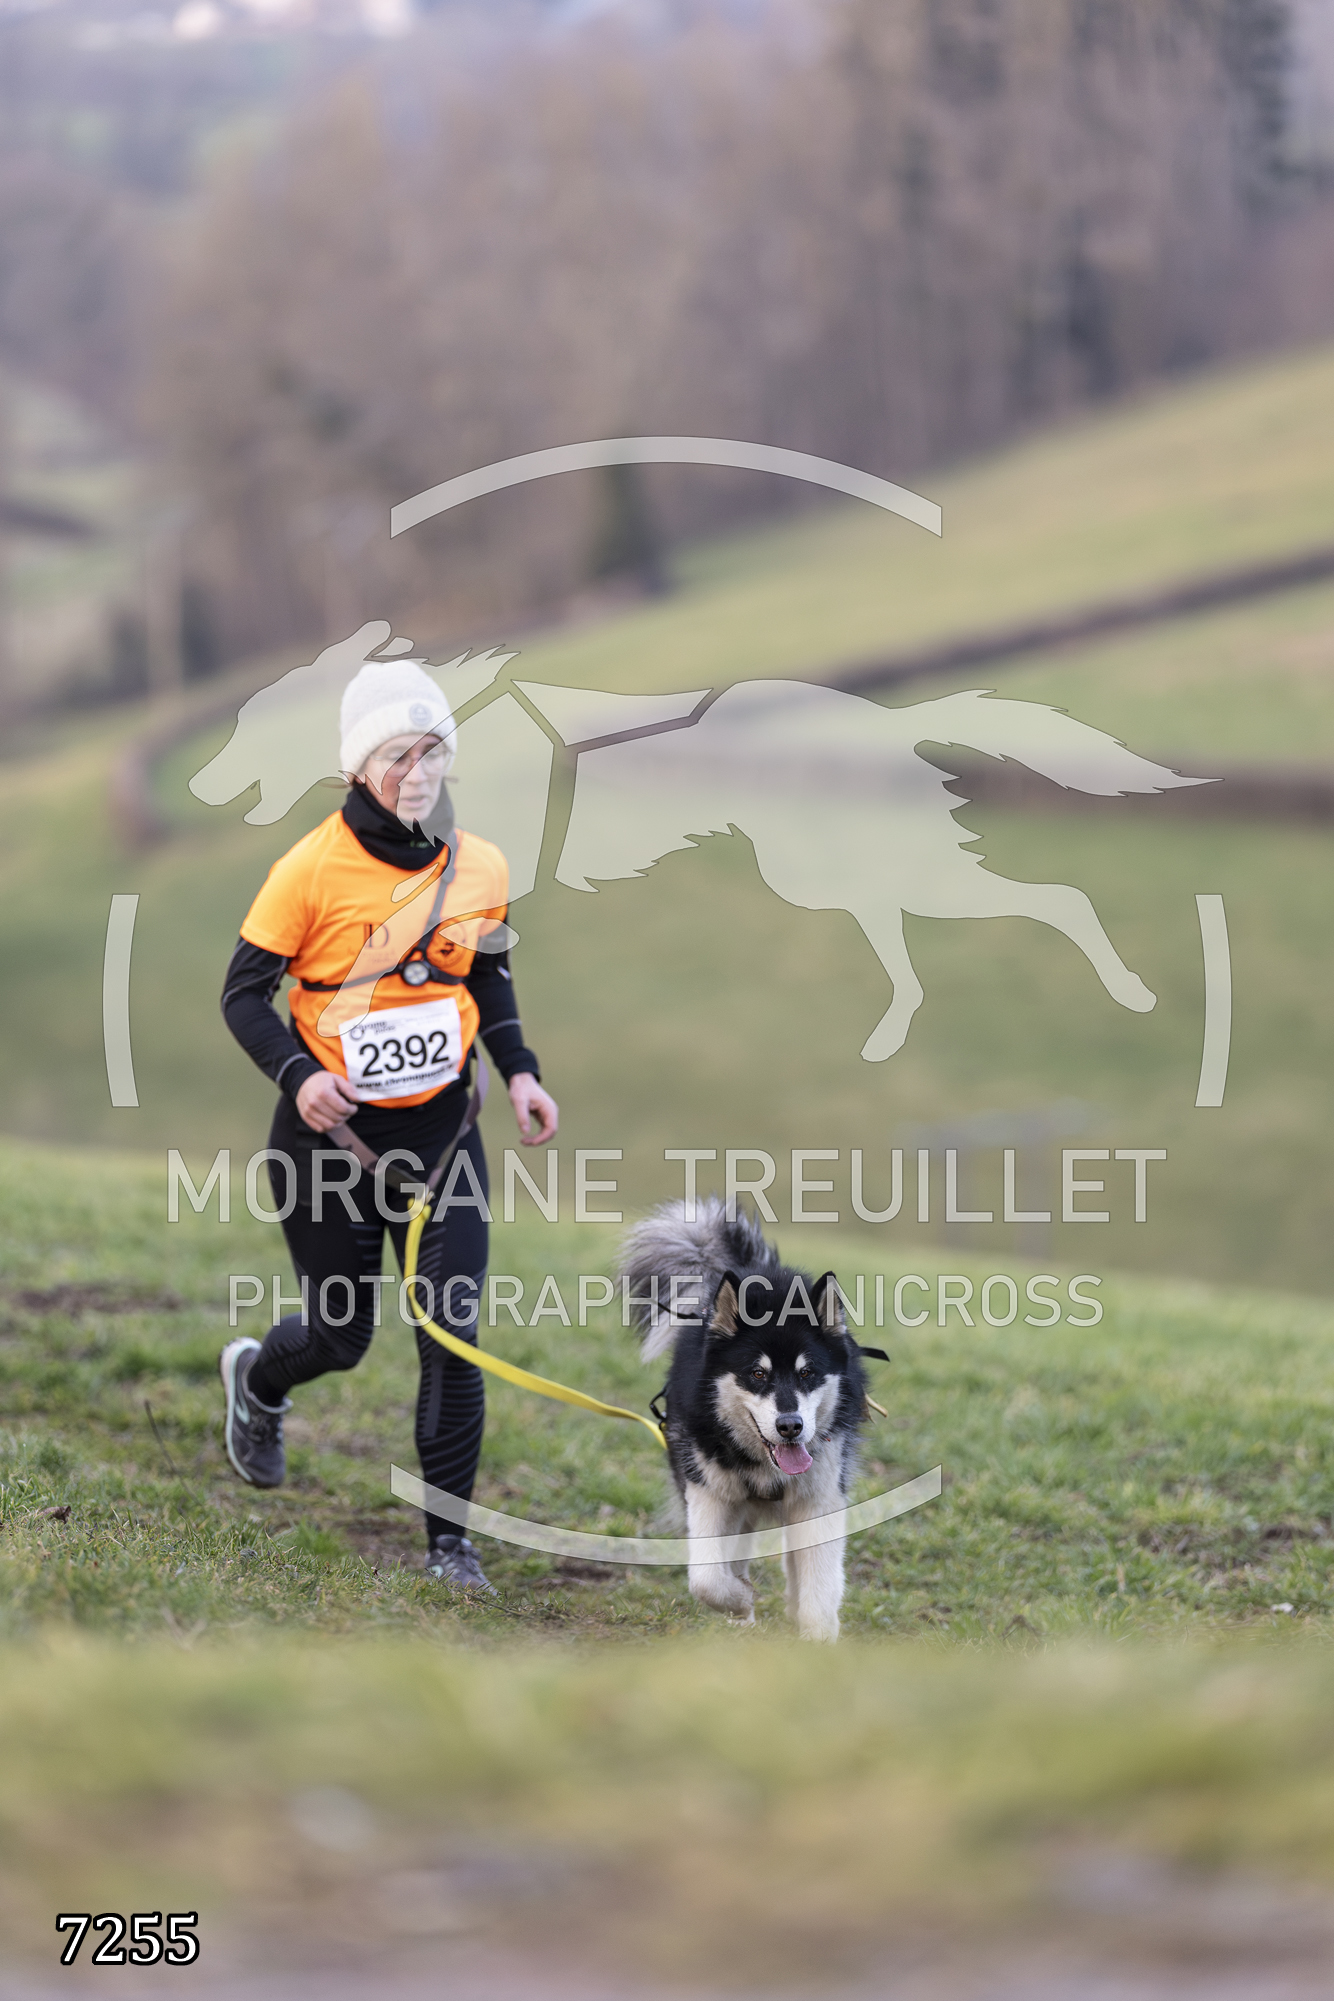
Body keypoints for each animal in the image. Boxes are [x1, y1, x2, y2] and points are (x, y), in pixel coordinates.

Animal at [619, 1199, 868, 1643]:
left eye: (807, 1373)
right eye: (757, 1373)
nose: (790, 1426)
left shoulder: (820, 1498)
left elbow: (819, 1583)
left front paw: (817, 1637)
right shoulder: (709, 1492)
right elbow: (706, 1579)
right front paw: (740, 1601)